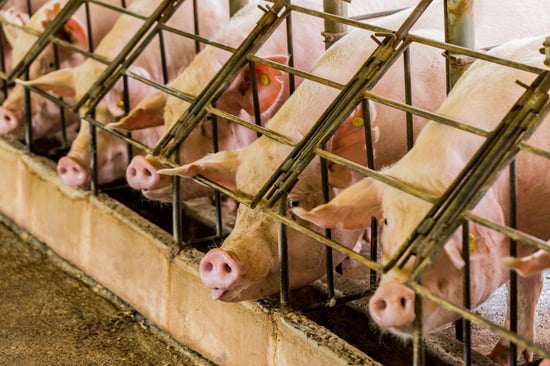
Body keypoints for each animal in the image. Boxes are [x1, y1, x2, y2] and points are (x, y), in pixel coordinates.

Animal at [294, 34, 550, 364]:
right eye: (387, 221)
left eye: (463, 239)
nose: (391, 294)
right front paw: (502, 355)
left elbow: (525, 283)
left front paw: (503, 355)